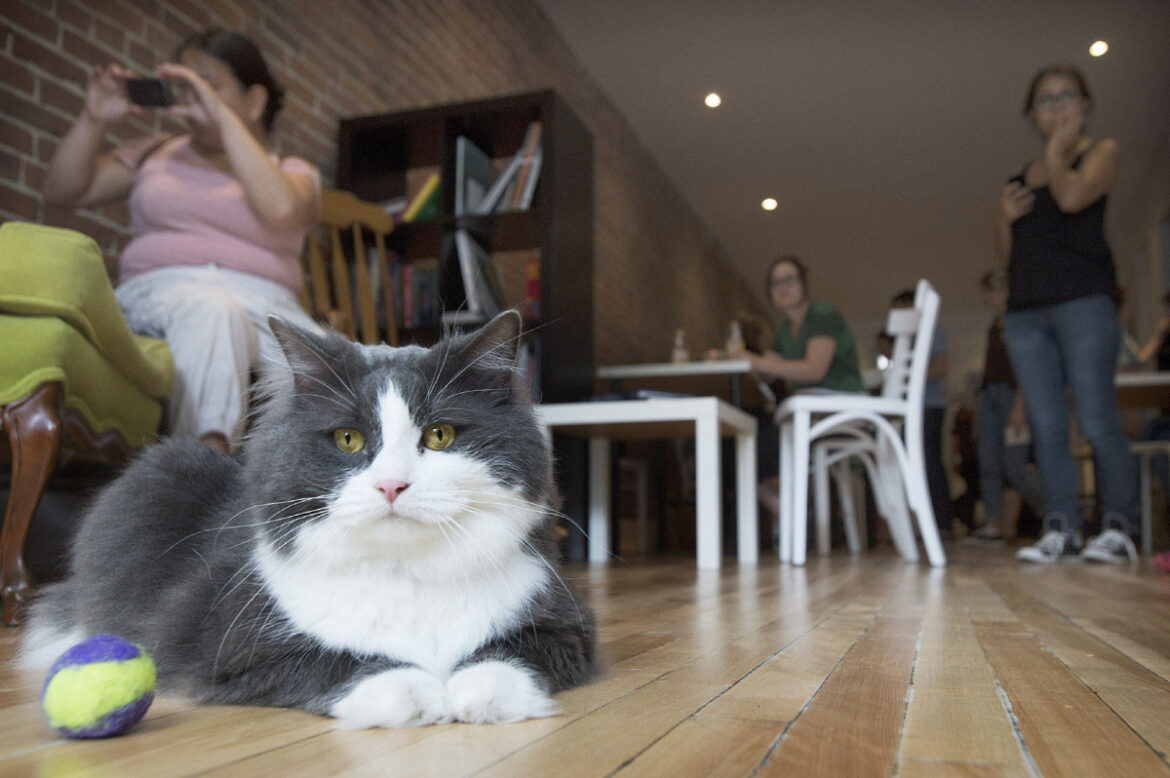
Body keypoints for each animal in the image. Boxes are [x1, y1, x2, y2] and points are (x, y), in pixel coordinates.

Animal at [20, 308, 594, 730]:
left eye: (440, 436)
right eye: (349, 440)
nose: (392, 485)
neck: (405, 570)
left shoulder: (565, 631)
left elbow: (504, 658)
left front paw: (474, 696)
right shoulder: (241, 656)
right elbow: (335, 661)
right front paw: (417, 693)